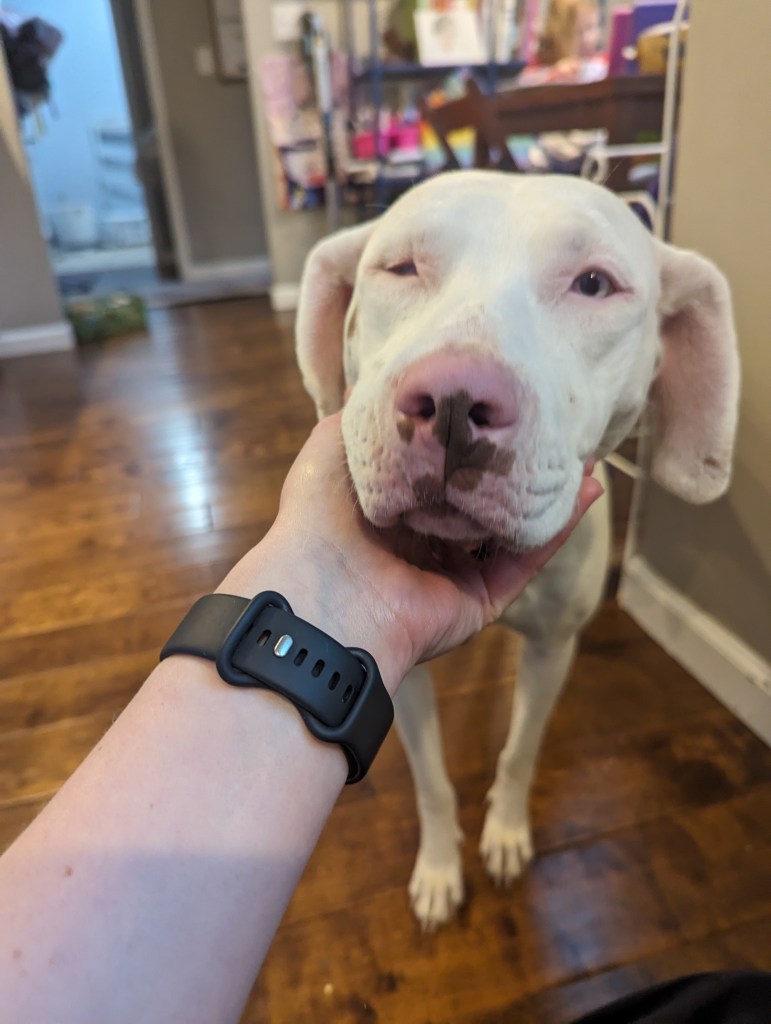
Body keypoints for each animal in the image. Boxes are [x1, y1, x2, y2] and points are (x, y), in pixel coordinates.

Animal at [292, 174, 733, 929]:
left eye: (594, 283)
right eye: (401, 267)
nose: (452, 400)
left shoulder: (554, 648)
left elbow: (521, 750)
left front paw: (502, 832)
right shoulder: (401, 675)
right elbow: (432, 781)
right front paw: (440, 867)